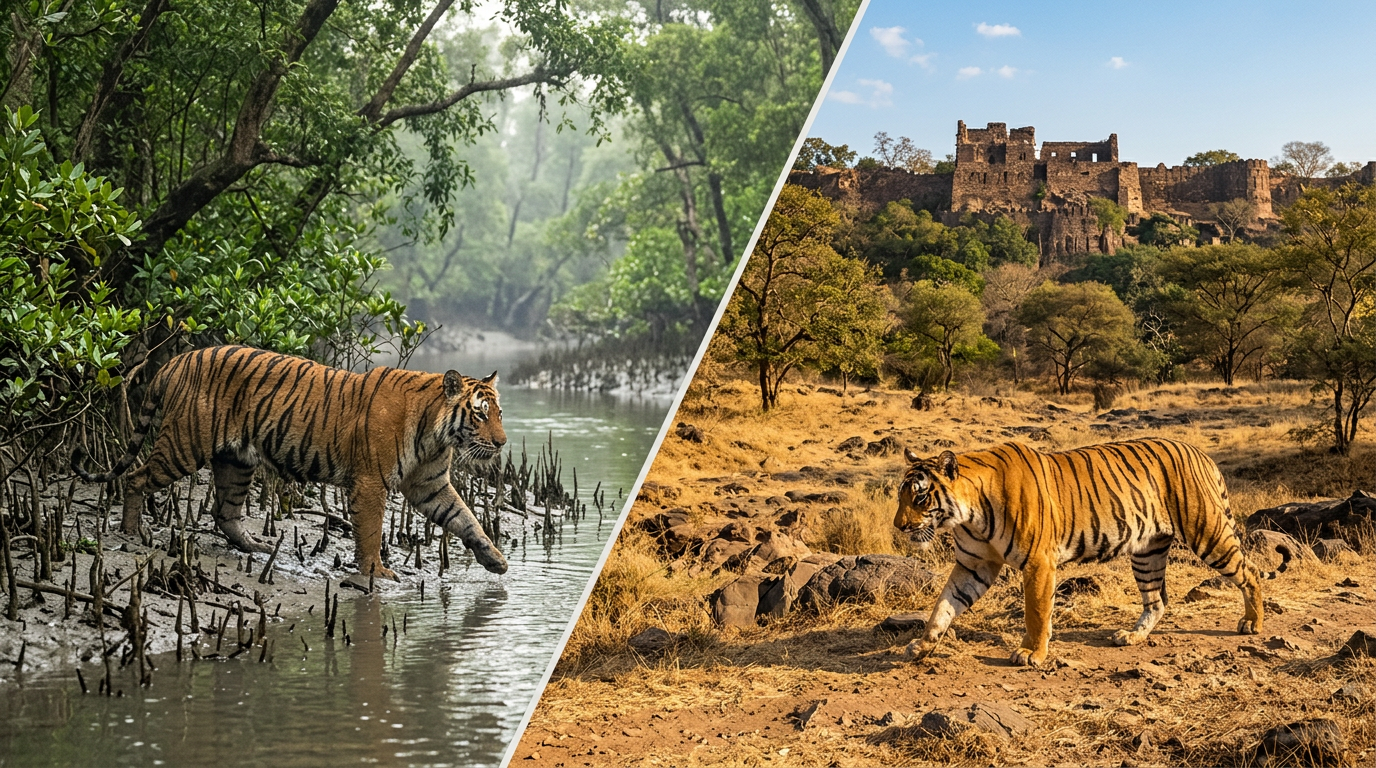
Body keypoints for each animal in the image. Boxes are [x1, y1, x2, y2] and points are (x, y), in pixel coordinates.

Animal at [73, 345, 509, 579]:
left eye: (499, 413)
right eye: (480, 414)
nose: (502, 443)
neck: (436, 434)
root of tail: (175, 360)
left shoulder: (429, 484)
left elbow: (465, 518)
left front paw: (496, 560)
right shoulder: (371, 483)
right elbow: (370, 532)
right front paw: (375, 572)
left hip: (237, 461)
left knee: (224, 511)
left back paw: (256, 546)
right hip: (183, 443)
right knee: (135, 476)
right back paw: (132, 532)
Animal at [893, 438, 1290, 667]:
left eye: (920, 496)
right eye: (901, 496)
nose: (898, 526)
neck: (969, 514)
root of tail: (1201, 453)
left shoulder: (1038, 562)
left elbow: (1036, 611)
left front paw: (1032, 653)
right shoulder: (974, 565)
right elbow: (943, 607)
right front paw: (922, 646)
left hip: (1207, 532)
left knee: (1250, 572)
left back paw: (1252, 623)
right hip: (1147, 551)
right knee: (1157, 600)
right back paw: (1131, 637)